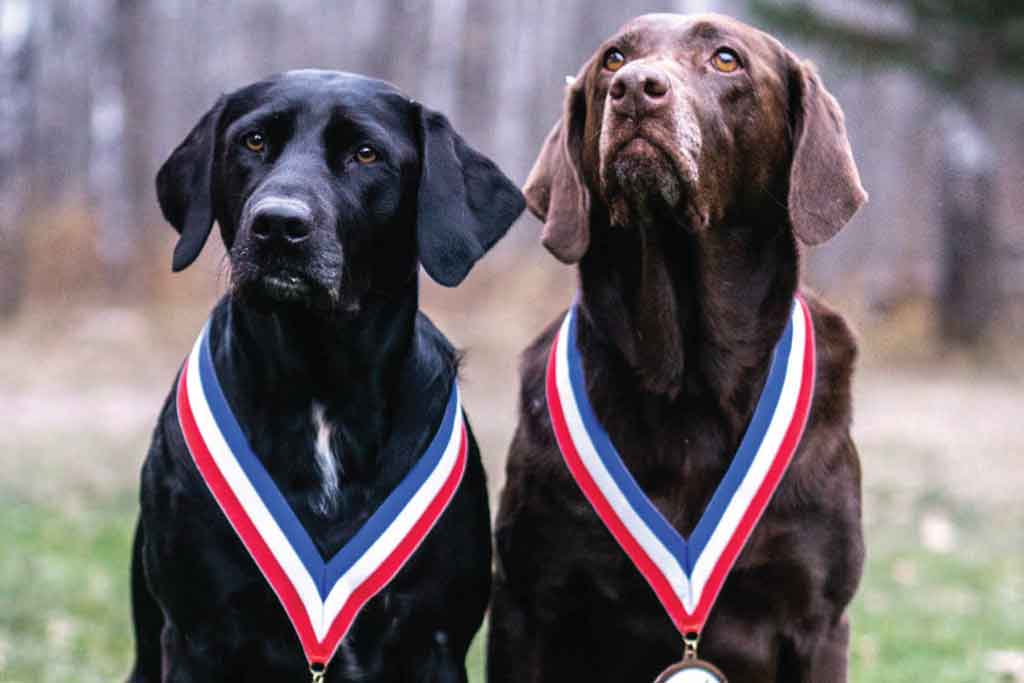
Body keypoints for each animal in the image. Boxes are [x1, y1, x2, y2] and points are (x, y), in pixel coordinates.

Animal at [129, 70, 524, 683]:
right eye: (253, 142)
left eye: (365, 154)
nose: (278, 225)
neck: (321, 383)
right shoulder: (197, 633)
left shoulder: (434, 636)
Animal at [487, 12, 864, 683]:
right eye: (613, 58)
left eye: (726, 59)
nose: (636, 90)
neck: (687, 380)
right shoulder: (528, 604)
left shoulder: (819, 621)